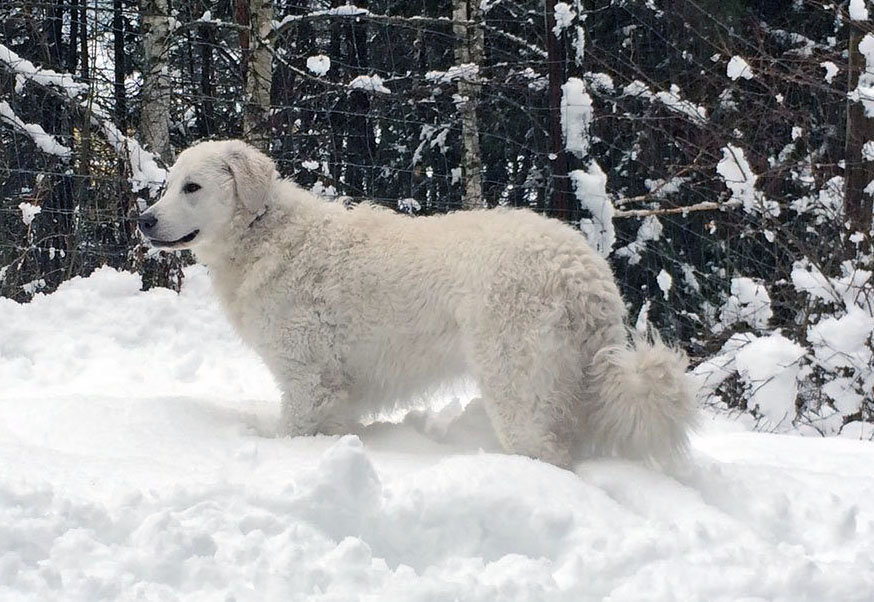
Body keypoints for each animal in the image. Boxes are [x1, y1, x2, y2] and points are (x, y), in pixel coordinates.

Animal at [138, 139, 696, 464]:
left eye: (193, 187)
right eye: (168, 184)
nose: (143, 220)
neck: (264, 231)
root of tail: (585, 274)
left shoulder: (306, 380)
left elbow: (294, 433)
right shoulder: (334, 389)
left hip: (516, 386)